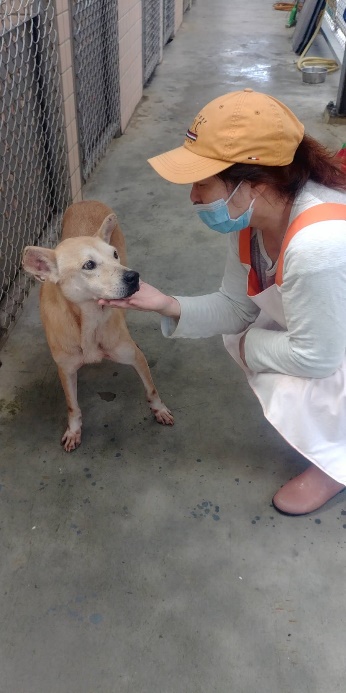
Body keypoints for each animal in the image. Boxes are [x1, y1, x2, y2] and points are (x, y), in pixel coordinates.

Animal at [22, 200, 173, 448]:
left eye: (114, 255)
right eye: (89, 265)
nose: (134, 277)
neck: (89, 319)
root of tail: (85, 201)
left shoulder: (134, 357)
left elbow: (151, 389)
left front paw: (159, 410)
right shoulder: (66, 370)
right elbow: (72, 406)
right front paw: (74, 431)